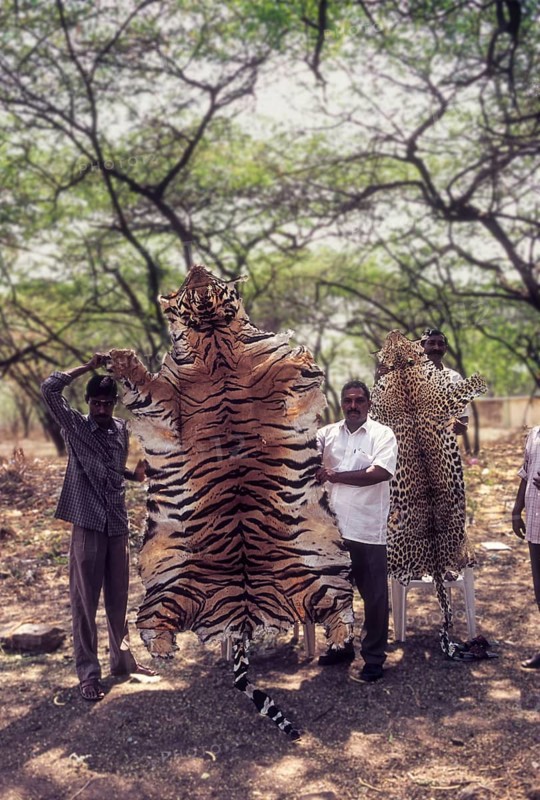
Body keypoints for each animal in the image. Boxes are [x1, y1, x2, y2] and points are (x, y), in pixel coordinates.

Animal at [107, 264, 353, 738]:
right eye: (189, 286)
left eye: (212, 279)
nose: (197, 269)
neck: (214, 340)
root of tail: (242, 614)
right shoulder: (167, 398)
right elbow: (144, 383)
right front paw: (120, 358)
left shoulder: (269, 375)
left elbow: (290, 366)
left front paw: (302, 353)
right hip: (171, 589)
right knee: (150, 624)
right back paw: (162, 652)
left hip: (316, 583)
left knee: (339, 611)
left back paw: (339, 639)